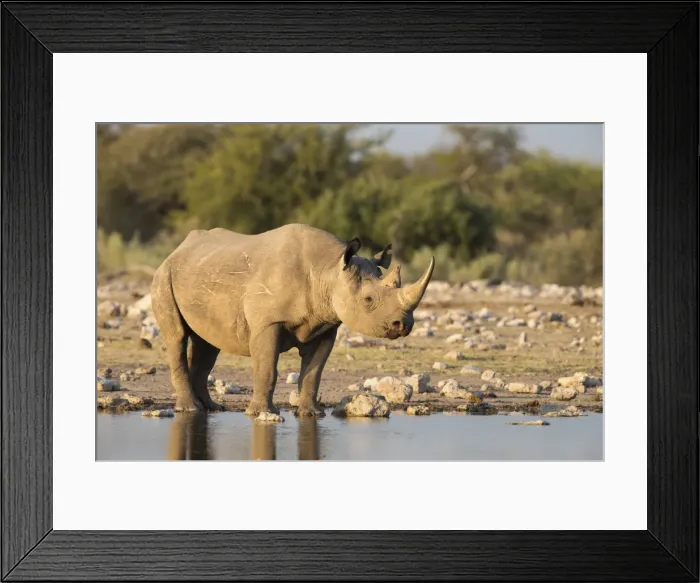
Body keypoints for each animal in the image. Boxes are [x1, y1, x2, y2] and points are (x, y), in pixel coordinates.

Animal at [151, 223, 434, 417]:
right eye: (368, 300)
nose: (404, 326)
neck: (329, 271)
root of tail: (175, 251)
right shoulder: (268, 323)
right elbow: (267, 369)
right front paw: (262, 414)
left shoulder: (326, 327)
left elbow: (313, 372)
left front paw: (311, 414)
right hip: (164, 276)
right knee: (177, 337)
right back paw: (191, 409)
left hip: (202, 273)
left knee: (208, 344)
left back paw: (211, 408)